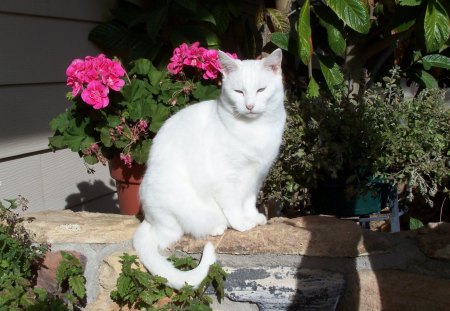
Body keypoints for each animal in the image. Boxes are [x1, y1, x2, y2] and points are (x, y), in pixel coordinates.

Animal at [133, 48, 284, 290]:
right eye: (239, 91)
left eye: (261, 90)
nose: (250, 106)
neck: (254, 130)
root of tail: (149, 220)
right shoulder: (226, 178)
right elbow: (233, 204)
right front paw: (241, 223)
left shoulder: (256, 176)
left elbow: (248, 200)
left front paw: (253, 217)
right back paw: (217, 226)